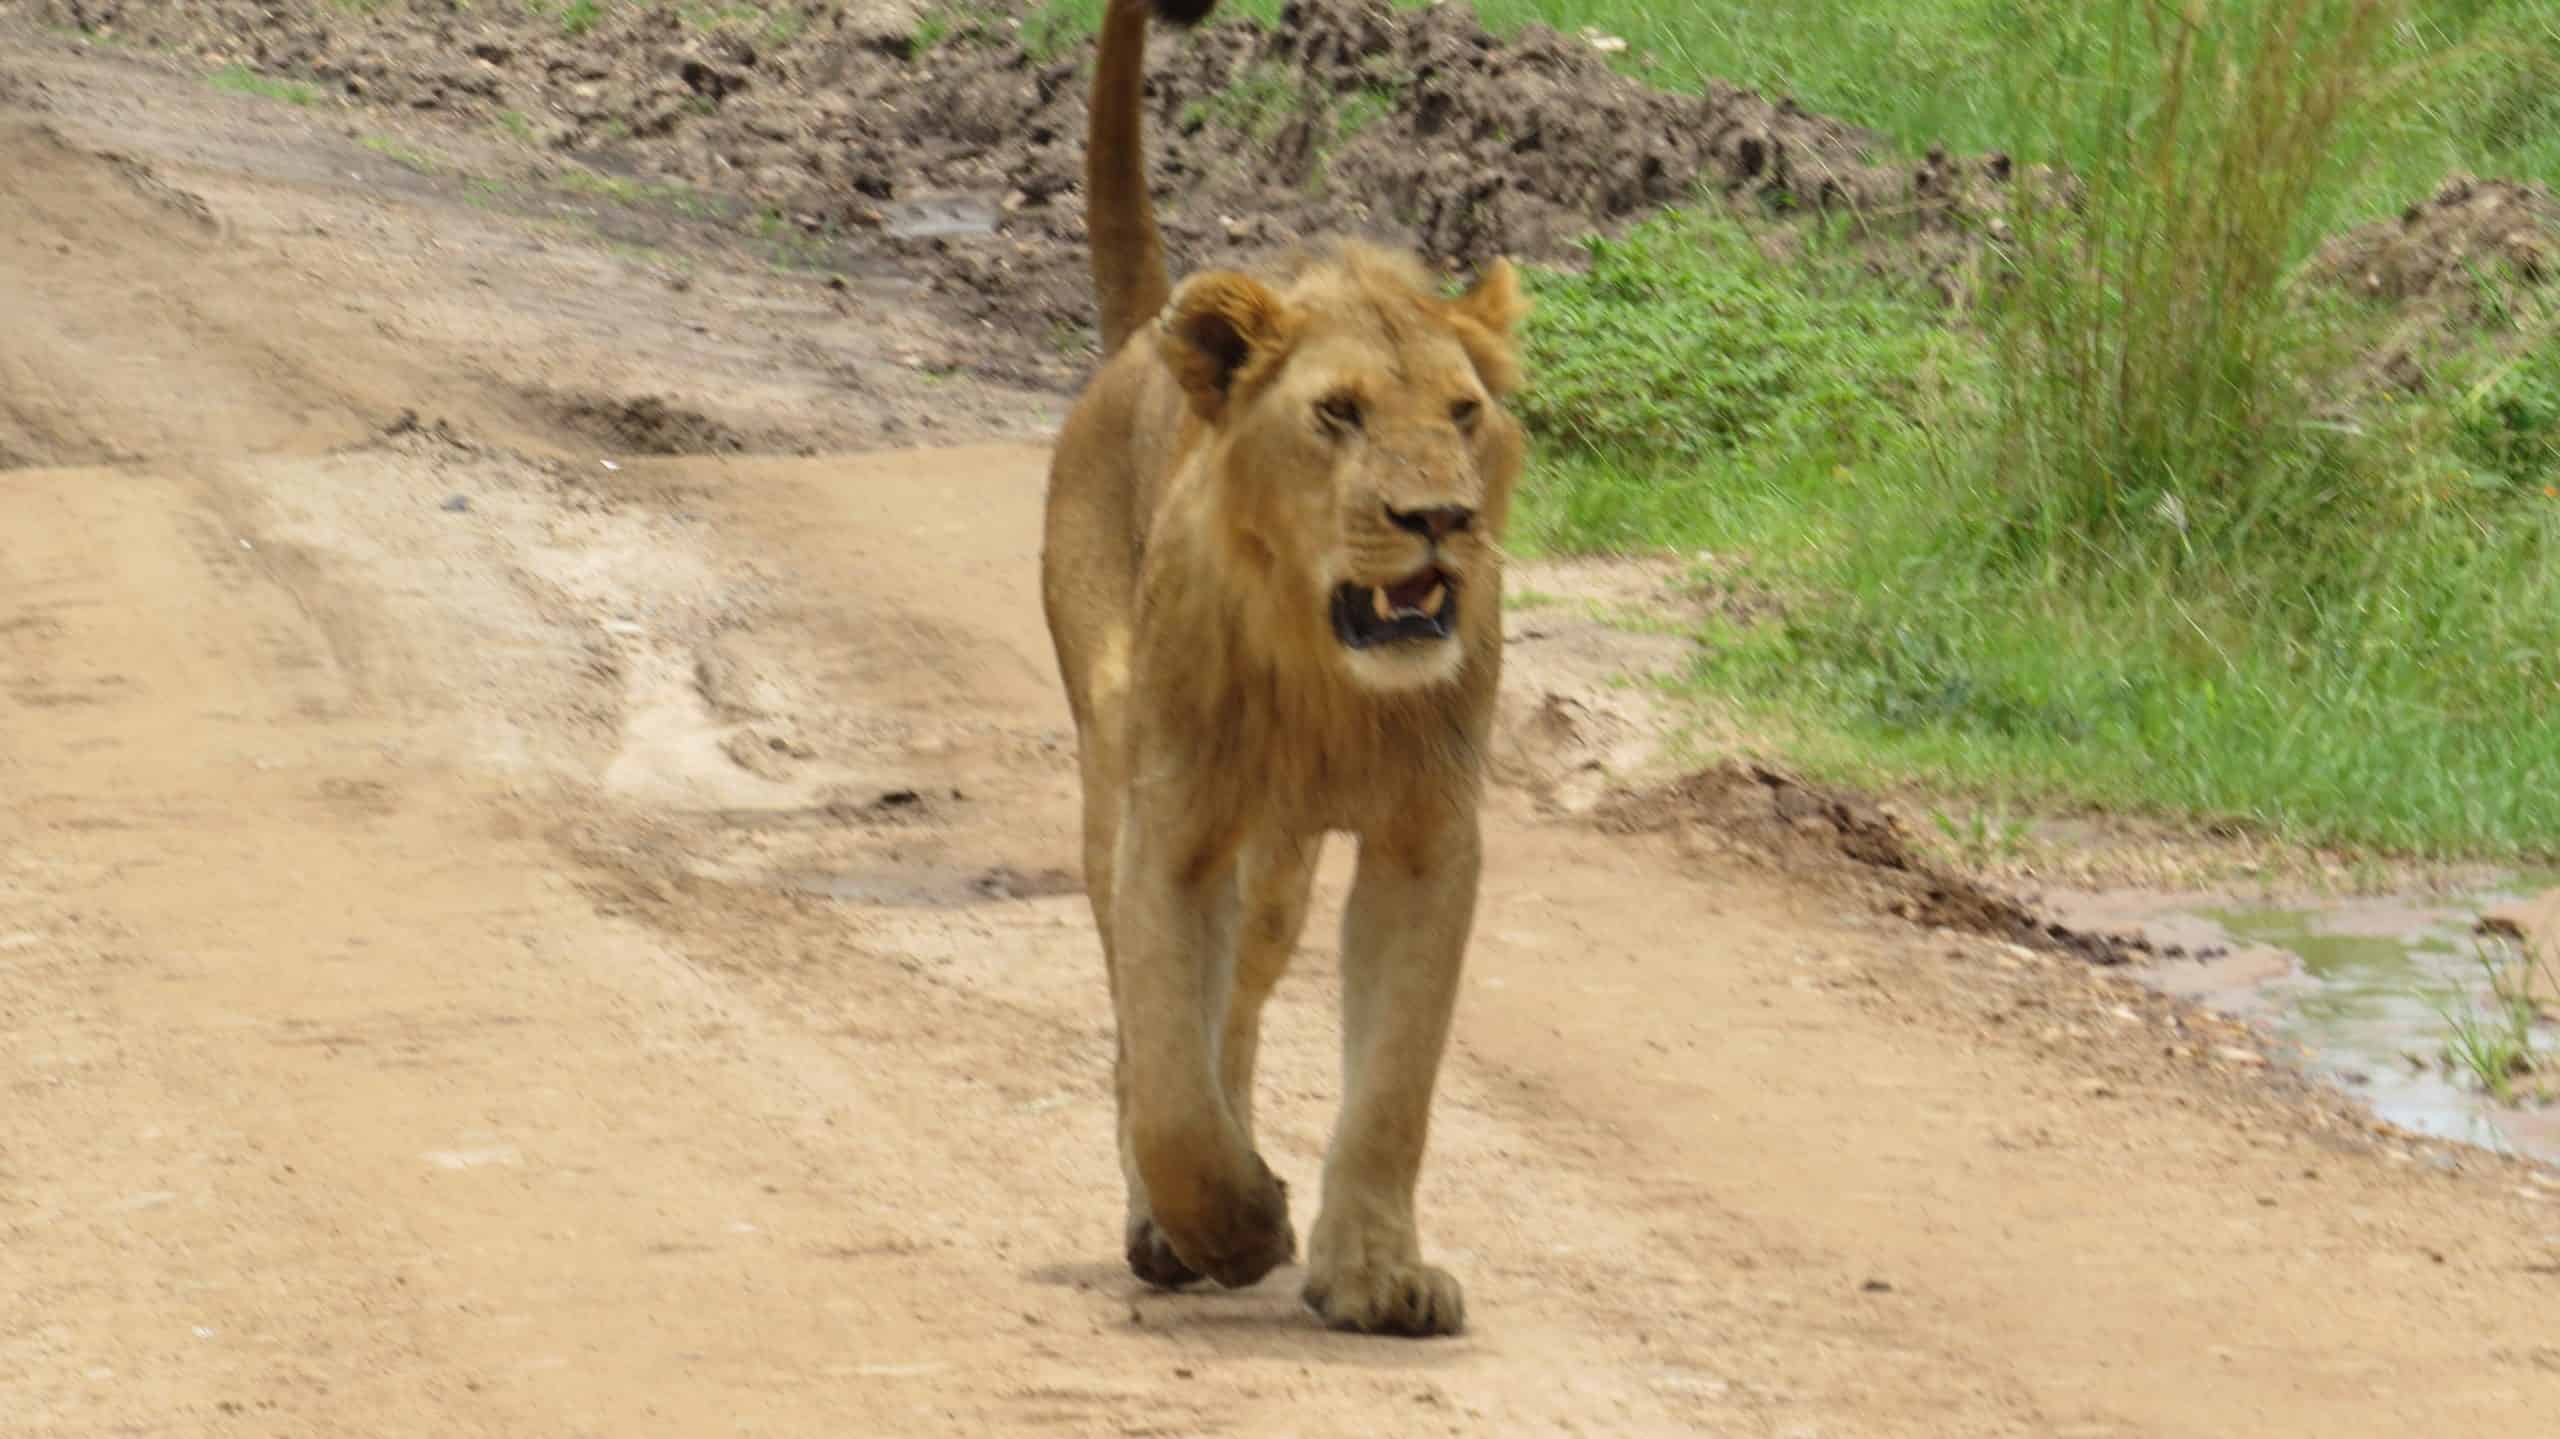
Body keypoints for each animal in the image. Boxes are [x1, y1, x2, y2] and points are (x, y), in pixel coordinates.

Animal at [1038, 0, 1528, 1338]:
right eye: (1338, 413)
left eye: (1462, 412)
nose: (1440, 518)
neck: (1327, 677)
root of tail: (1142, 345)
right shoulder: (1172, 822)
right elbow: (1165, 1068)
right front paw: (1230, 1220)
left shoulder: (1427, 838)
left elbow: (1395, 1081)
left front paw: (1374, 1273)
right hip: (1112, 766)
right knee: (1142, 1022)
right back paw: (1169, 1224)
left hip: (1279, 868)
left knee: (1244, 1004)